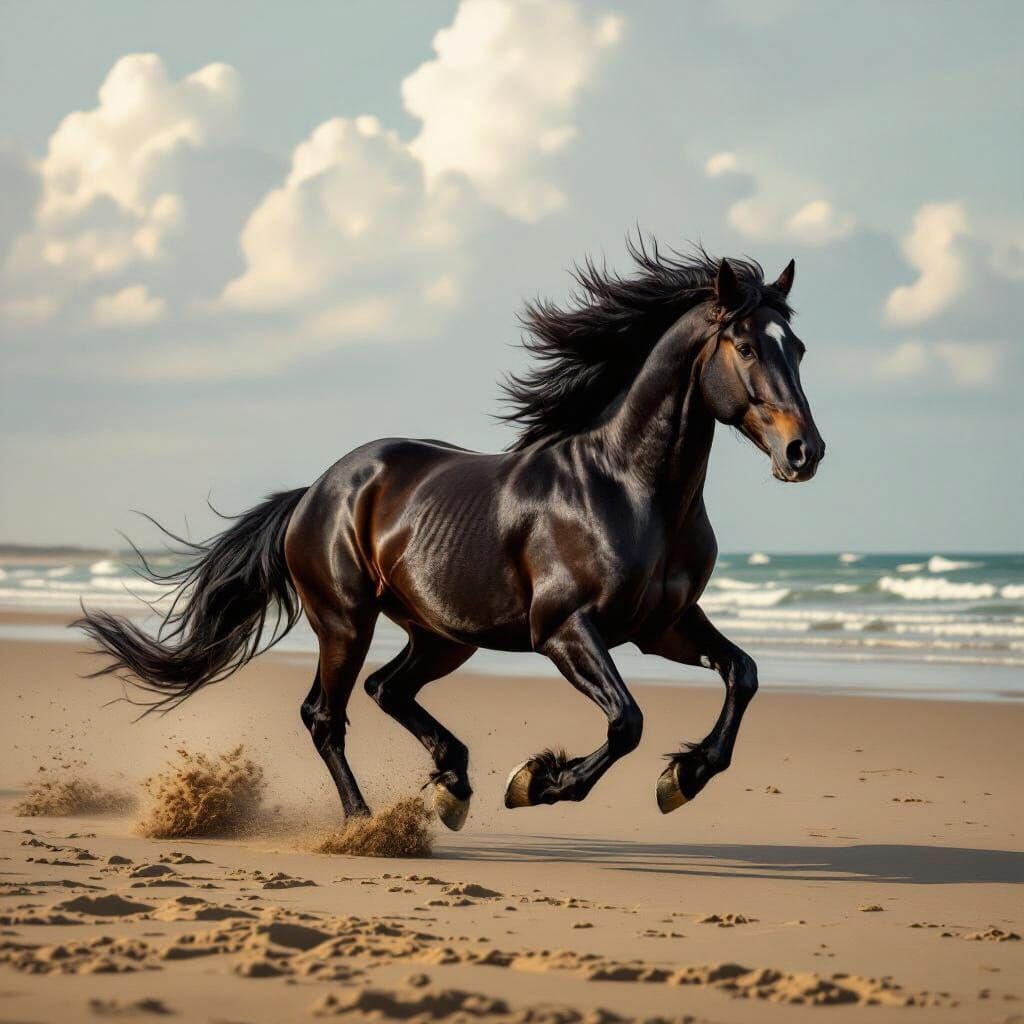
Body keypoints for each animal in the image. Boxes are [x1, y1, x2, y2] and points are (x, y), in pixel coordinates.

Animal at [77, 242, 825, 831]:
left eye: (798, 348)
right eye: (747, 346)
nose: (804, 452)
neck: (630, 489)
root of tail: (315, 492)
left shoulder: (662, 625)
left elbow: (743, 674)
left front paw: (684, 777)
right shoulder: (564, 629)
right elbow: (627, 721)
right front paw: (538, 782)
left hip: (442, 636)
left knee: (387, 689)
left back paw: (453, 786)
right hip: (345, 620)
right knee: (326, 713)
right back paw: (365, 824)